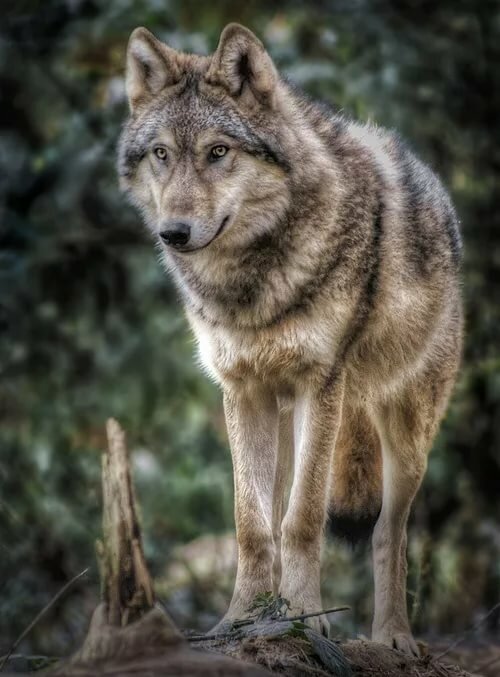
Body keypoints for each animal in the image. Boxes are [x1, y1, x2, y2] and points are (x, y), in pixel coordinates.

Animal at [118, 23, 463, 655]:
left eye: (218, 152)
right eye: (162, 154)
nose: (173, 233)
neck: (252, 289)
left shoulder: (320, 385)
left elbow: (302, 520)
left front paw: (306, 616)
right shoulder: (240, 391)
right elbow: (252, 526)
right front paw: (241, 621)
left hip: (404, 435)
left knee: (389, 531)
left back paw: (392, 637)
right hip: (281, 426)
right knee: (276, 514)